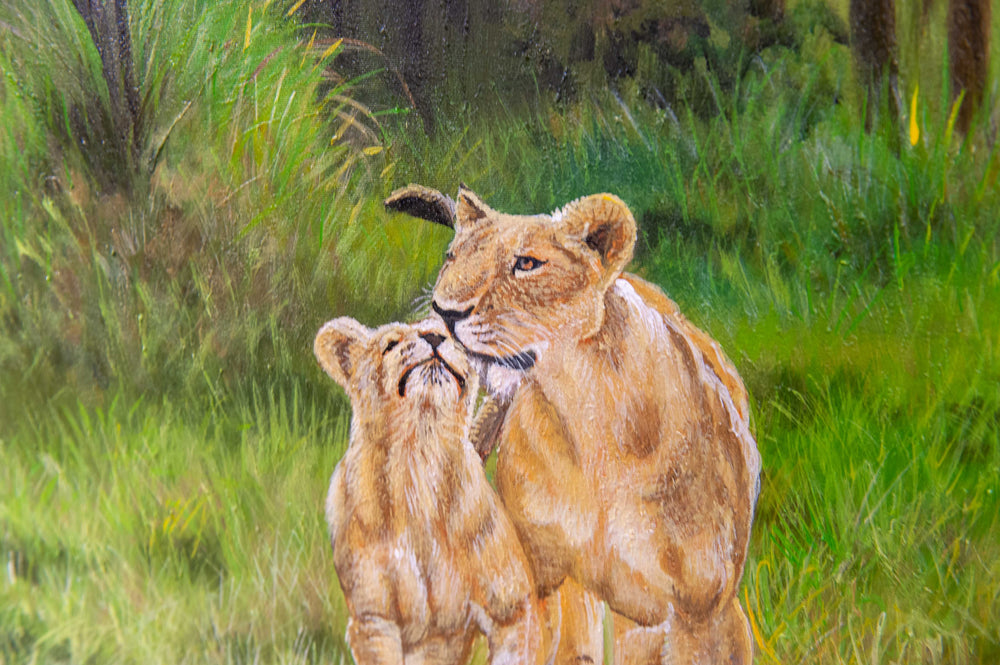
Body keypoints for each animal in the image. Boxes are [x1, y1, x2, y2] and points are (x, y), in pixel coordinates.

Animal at [314, 316, 547, 665]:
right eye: (391, 344)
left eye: (452, 335)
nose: (434, 336)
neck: (419, 458)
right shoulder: (373, 619)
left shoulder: (514, 607)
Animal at [385, 185, 762, 665]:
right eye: (451, 256)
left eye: (527, 264)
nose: (444, 311)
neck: (586, 413)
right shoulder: (545, 581)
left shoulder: (705, 609)